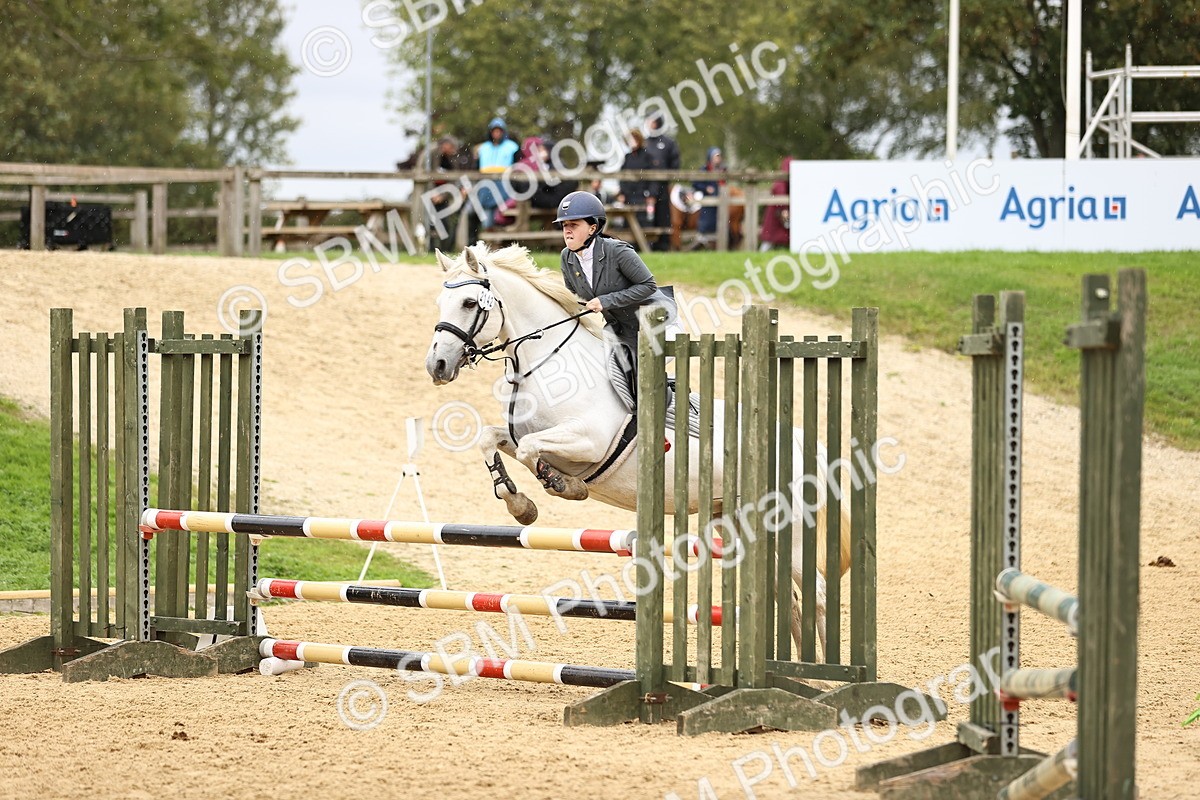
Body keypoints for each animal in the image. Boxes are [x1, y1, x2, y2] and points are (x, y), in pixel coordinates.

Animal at [424, 242, 852, 654]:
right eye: (440, 302)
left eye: (468, 303)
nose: (437, 365)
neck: (545, 364)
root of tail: (803, 444)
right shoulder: (521, 437)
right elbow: (491, 439)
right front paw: (520, 504)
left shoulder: (588, 440)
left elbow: (534, 452)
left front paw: (563, 487)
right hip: (739, 524)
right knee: (789, 599)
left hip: (790, 529)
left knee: (815, 595)